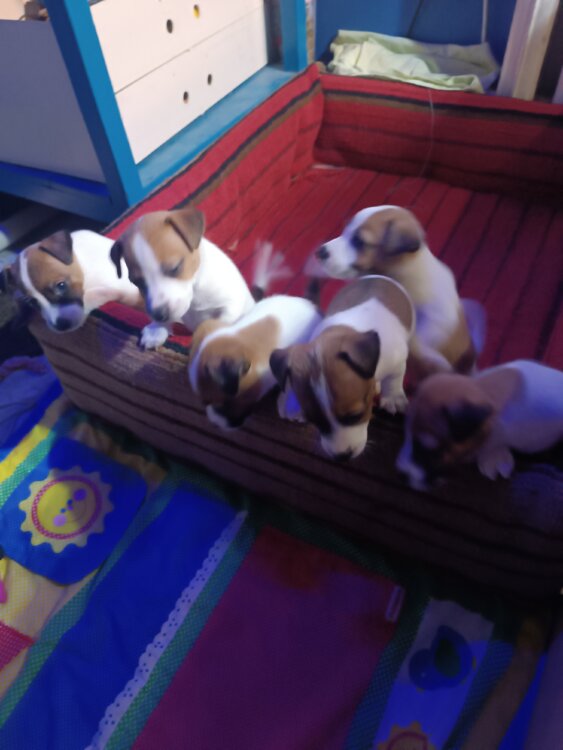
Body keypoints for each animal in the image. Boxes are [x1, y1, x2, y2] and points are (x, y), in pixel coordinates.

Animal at [110, 206, 262, 350]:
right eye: (136, 282)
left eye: (175, 268)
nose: (159, 315)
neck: (195, 294)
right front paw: (156, 330)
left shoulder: (230, 305)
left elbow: (217, 326)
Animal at [270, 276, 414, 461]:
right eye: (314, 421)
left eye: (356, 415)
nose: (342, 456)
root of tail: (378, 276)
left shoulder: (397, 360)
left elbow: (394, 380)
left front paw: (393, 397)